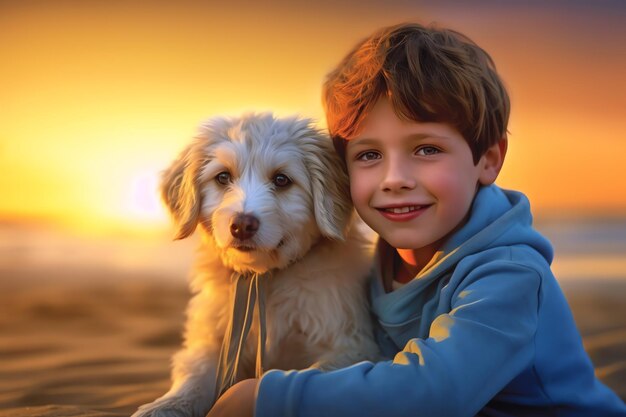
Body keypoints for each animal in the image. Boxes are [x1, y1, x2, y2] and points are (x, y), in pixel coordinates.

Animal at [132, 114, 376, 416]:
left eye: (281, 180)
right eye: (223, 177)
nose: (242, 225)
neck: (265, 277)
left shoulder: (350, 343)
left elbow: (319, 375)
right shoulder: (211, 342)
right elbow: (195, 378)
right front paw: (163, 406)